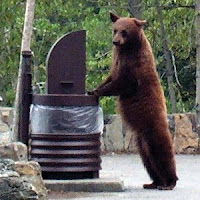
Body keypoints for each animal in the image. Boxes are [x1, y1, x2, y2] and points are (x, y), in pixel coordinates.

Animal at [89, 13, 178, 190]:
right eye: (115, 29)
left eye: (124, 31)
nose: (115, 42)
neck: (127, 49)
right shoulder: (117, 60)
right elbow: (110, 77)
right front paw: (92, 89)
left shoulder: (134, 66)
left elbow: (121, 83)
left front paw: (97, 92)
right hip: (140, 142)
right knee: (148, 161)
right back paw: (153, 182)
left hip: (153, 127)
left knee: (162, 152)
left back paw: (169, 182)